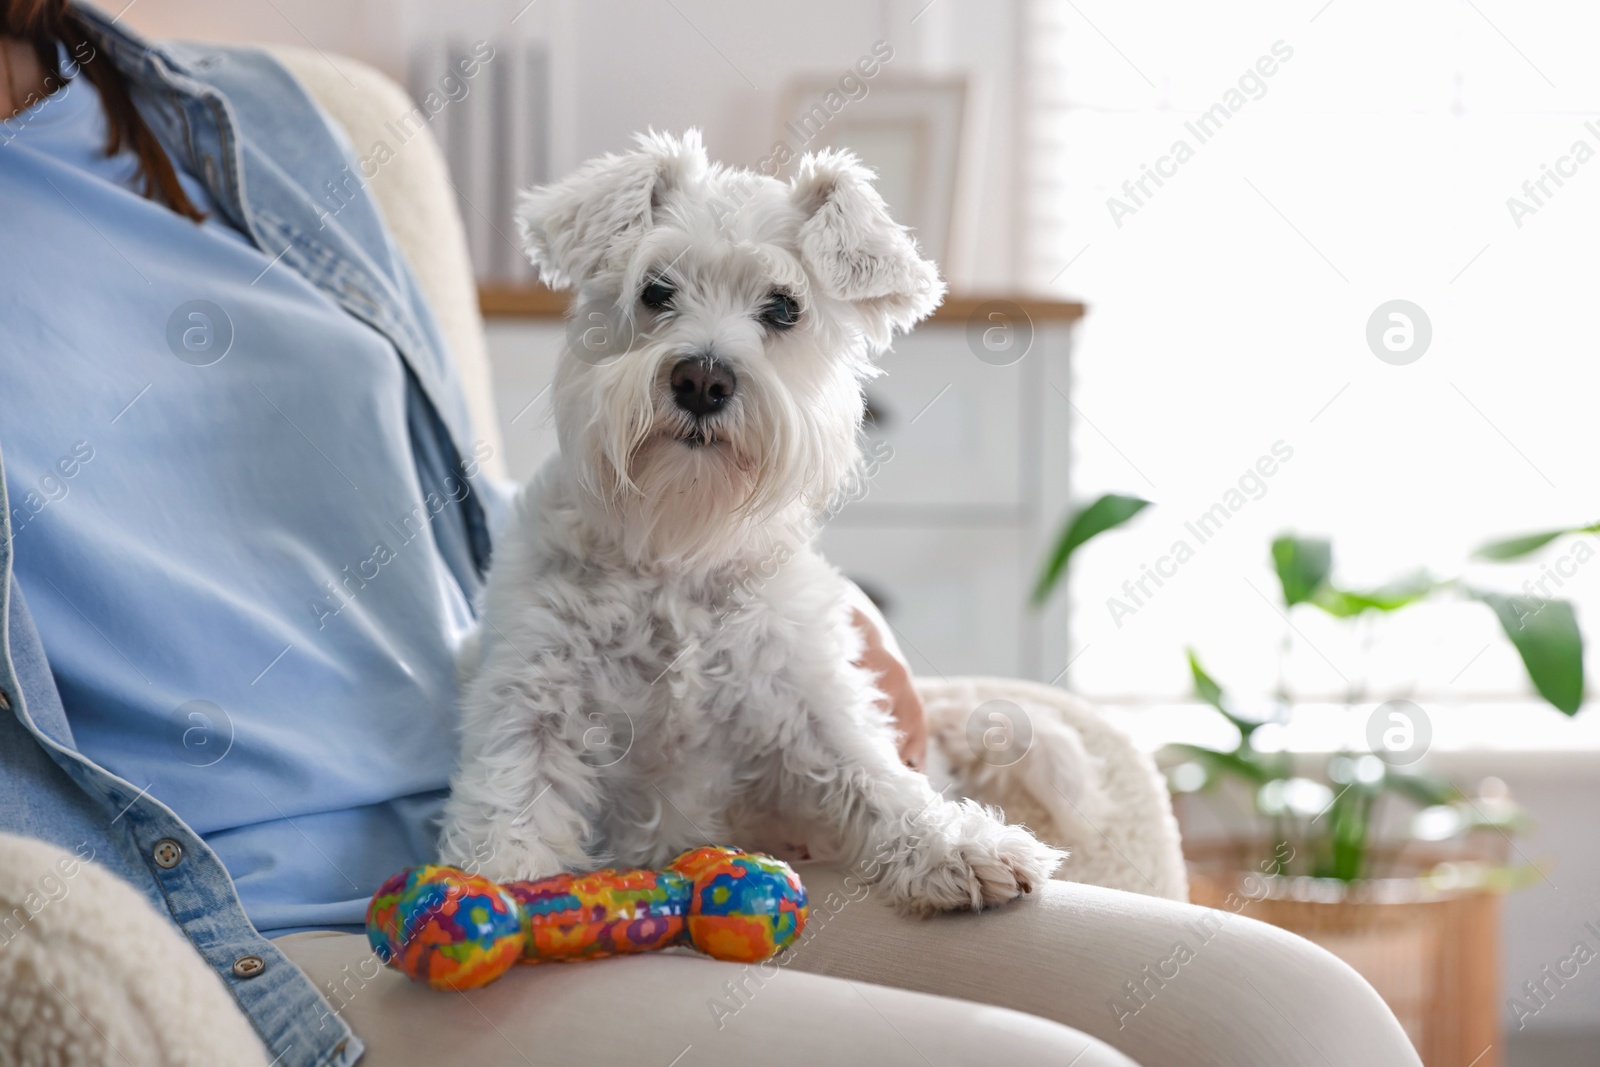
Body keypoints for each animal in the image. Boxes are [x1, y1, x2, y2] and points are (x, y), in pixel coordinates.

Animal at [438, 131, 1062, 921]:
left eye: (784, 308)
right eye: (656, 290)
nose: (702, 380)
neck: (678, 541)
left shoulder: (808, 697)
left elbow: (876, 776)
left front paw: (958, 846)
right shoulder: (532, 696)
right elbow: (514, 801)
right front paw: (500, 894)